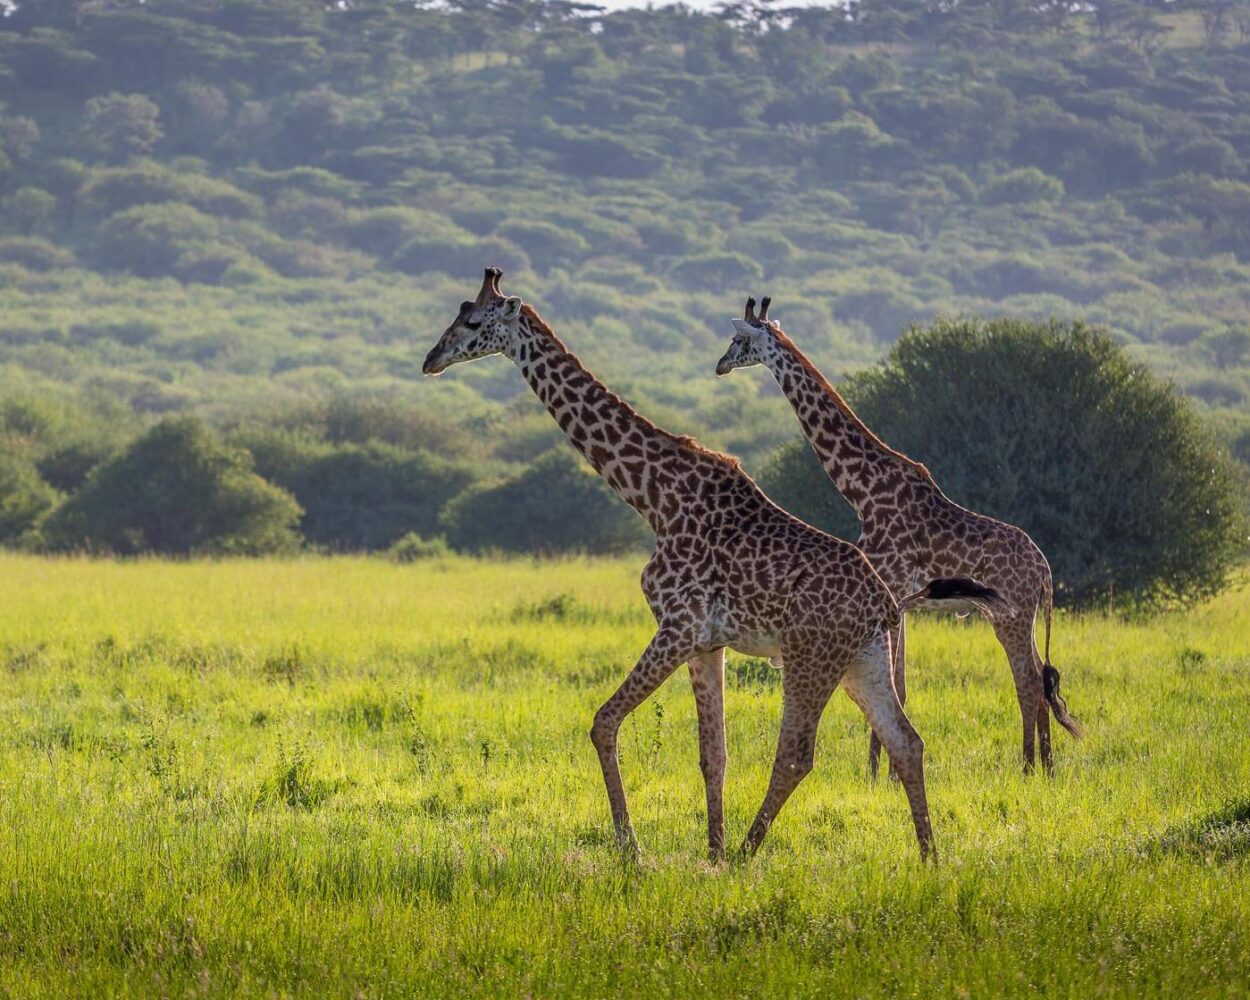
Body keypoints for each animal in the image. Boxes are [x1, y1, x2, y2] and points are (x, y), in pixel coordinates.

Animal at [425, 270, 1000, 865]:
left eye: (473, 321)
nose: (430, 359)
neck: (652, 497)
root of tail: (882, 601)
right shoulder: (708, 642)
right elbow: (713, 754)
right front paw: (712, 853)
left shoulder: (678, 625)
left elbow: (604, 722)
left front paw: (634, 848)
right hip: (862, 659)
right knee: (907, 741)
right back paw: (928, 856)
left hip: (809, 657)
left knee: (797, 753)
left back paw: (751, 851)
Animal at [720, 292, 1080, 775]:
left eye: (739, 340)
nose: (720, 364)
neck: (862, 489)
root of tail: (1044, 570)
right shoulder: (896, 598)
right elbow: (902, 686)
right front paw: (884, 774)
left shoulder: (889, 582)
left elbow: (892, 686)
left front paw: (876, 773)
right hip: (1018, 616)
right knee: (1042, 680)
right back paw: (1047, 767)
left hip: (1010, 614)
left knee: (1026, 682)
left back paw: (1026, 769)